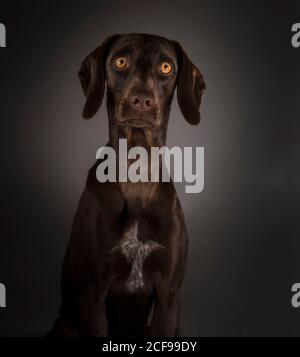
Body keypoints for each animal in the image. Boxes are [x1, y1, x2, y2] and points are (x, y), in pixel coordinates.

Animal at [49, 33, 205, 336]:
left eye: (166, 67)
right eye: (120, 61)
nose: (141, 100)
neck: (136, 169)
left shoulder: (169, 296)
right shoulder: (92, 293)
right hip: (66, 325)